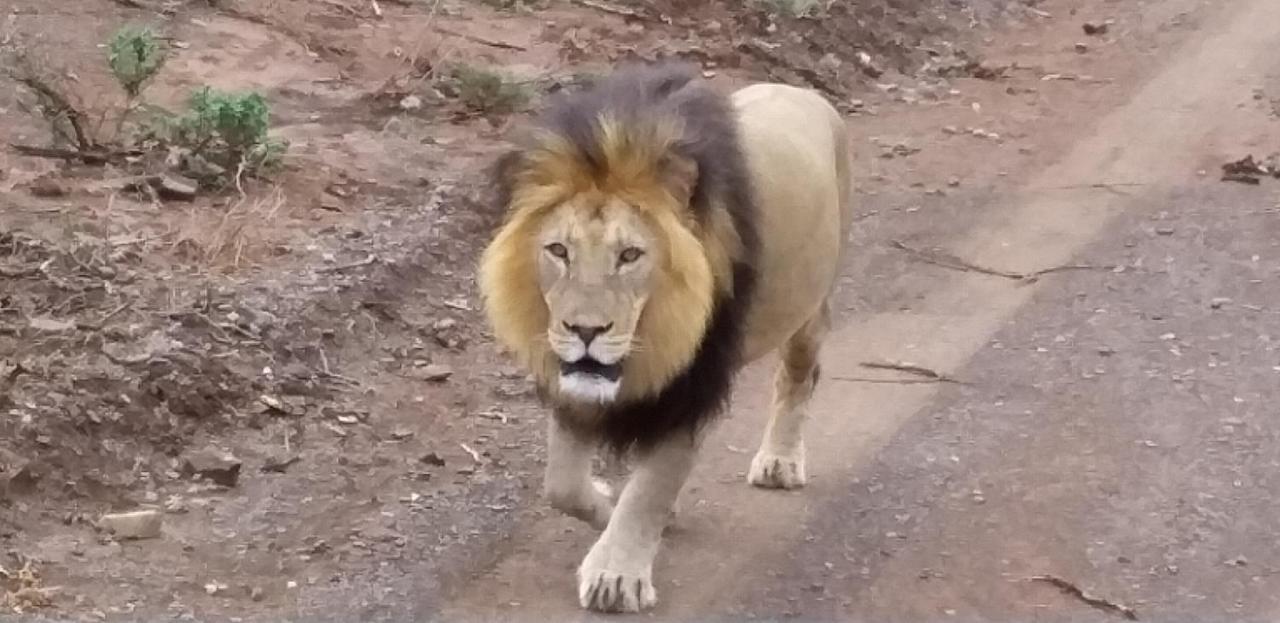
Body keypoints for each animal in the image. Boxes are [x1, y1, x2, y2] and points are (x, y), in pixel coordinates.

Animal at [476, 64, 855, 614]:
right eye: (558, 250)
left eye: (630, 255)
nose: (585, 331)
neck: (654, 336)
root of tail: (803, 92)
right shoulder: (573, 385)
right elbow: (562, 486)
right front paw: (608, 503)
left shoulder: (691, 389)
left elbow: (650, 488)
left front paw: (617, 575)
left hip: (807, 307)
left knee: (799, 375)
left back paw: (781, 460)